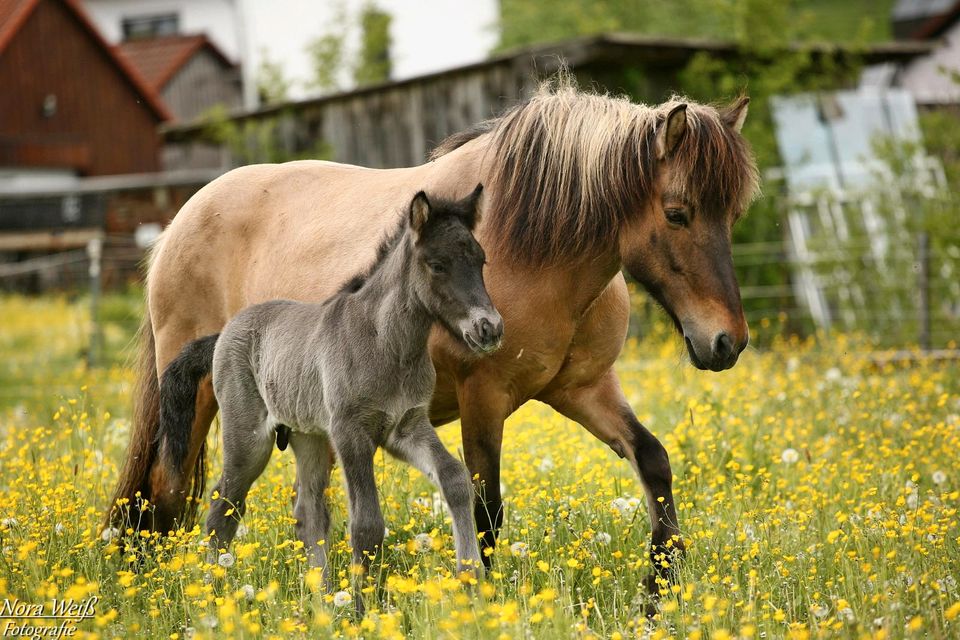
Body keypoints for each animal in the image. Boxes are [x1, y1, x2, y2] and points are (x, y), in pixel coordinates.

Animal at [109, 80, 760, 596]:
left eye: (732, 216)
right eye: (677, 213)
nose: (726, 342)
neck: (535, 244)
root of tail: (178, 223)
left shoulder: (584, 389)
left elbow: (653, 461)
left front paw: (659, 590)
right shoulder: (483, 398)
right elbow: (486, 507)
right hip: (201, 405)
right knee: (167, 494)